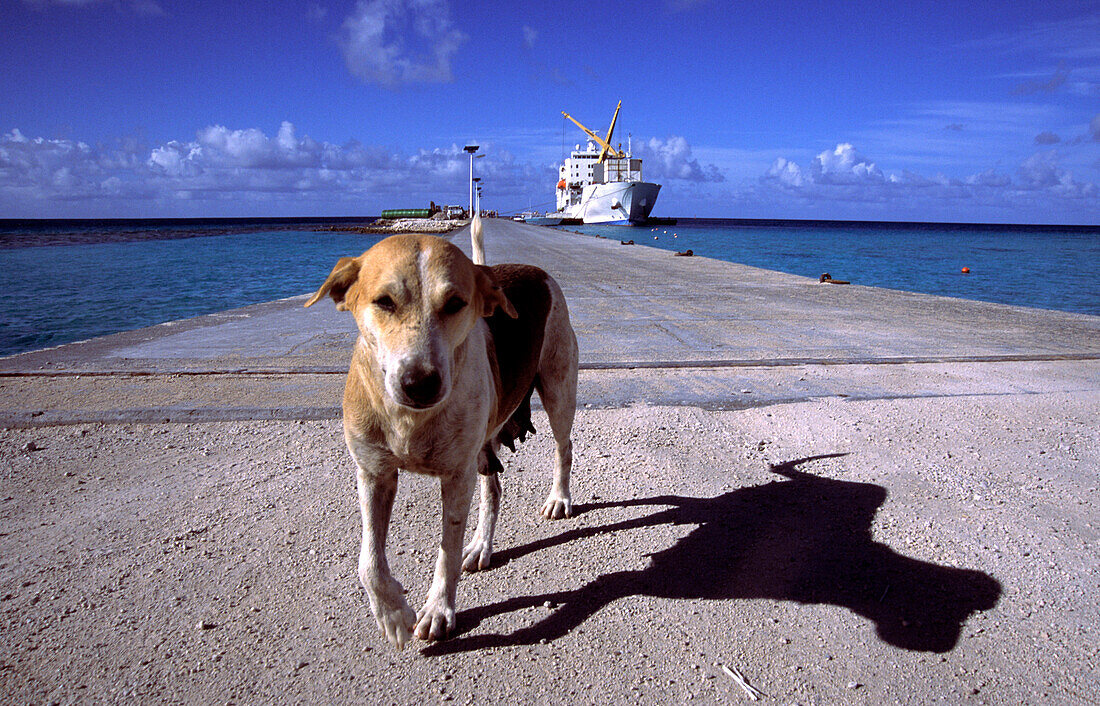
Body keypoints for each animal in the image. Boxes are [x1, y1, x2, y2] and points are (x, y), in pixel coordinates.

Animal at [301, 226, 576, 651]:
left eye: (455, 303)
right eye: (384, 301)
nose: (419, 383)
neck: (410, 421)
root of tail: (528, 269)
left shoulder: (457, 477)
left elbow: (447, 550)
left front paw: (436, 611)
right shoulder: (373, 473)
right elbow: (369, 562)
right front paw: (394, 615)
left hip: (558, 389)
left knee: (564, 449)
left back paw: (558, 498)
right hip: (484, 446)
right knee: (494, 488)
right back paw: (481, 545)